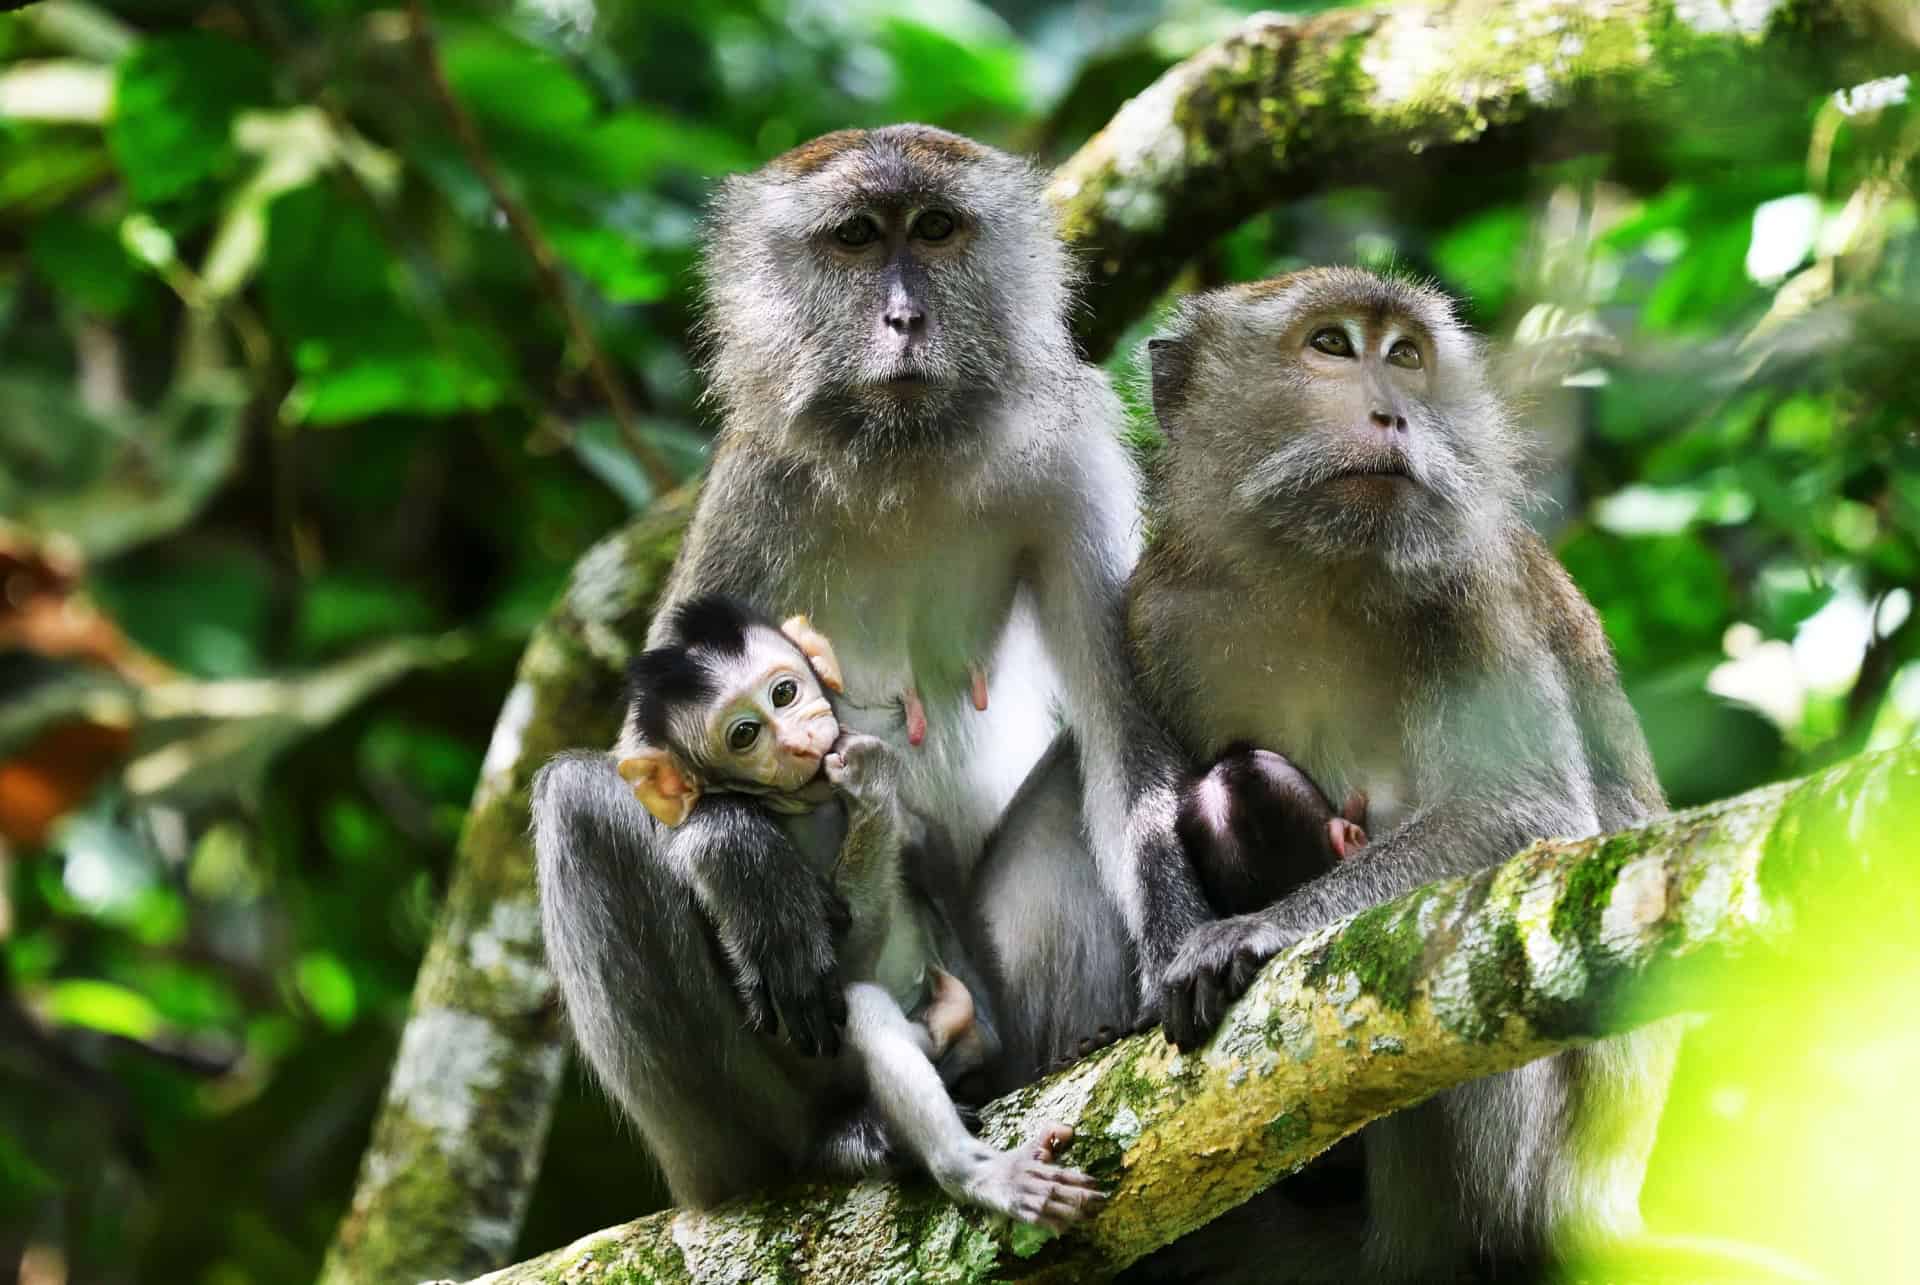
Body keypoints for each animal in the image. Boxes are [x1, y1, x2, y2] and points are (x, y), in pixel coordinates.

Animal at [599, 595, 1098, 1221]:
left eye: (784, 693)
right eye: (744, 735)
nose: (797, 739)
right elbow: (837, 966)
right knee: (862, 1010)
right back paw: (970, 1163)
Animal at [1121, 265, 1681, 1275]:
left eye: (1407, 355)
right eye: (1332, 345)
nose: (1395, 414)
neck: (1316, 567)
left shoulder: (1473, 581)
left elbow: (1523, 811)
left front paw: (1251, 934)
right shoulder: (1152, 610)